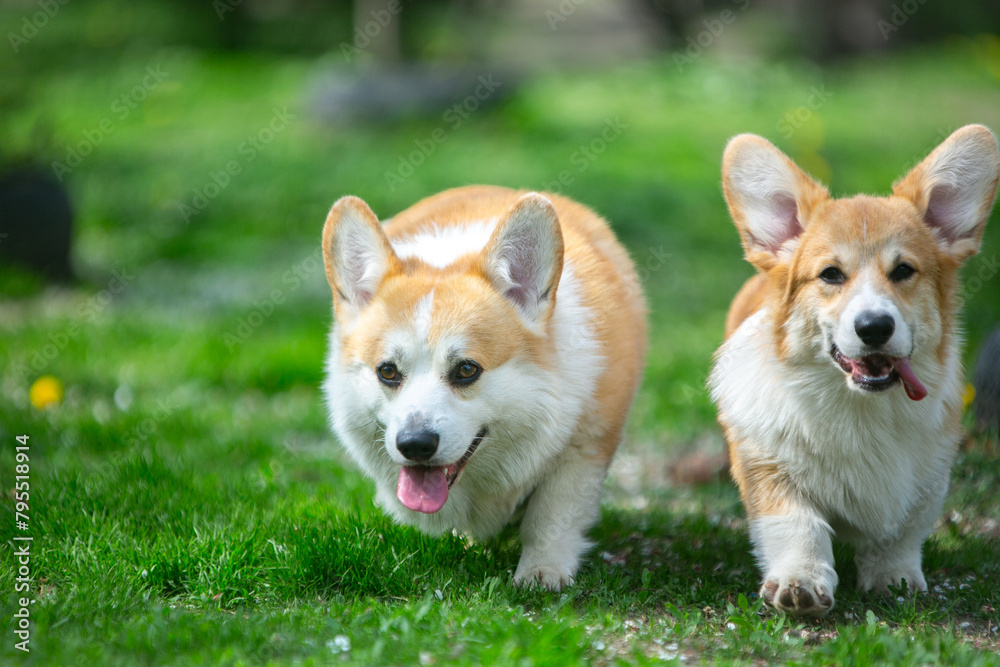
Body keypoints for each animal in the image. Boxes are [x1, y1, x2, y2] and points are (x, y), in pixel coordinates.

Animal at [322, 185, 648, 588]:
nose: (415, 445)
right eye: (387, 371)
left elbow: (552, 516)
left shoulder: (585, 444)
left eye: (466, 370)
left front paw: (542, 574)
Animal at [712, 125, 1000, 616]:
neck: (860, 407)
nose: (874, 327)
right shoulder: (769, 467)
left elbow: (899, 534)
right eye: (830, 274)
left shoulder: (925, 479)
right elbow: (798, 524)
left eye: (903, 270)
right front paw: (800, 581)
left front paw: (895, 580)